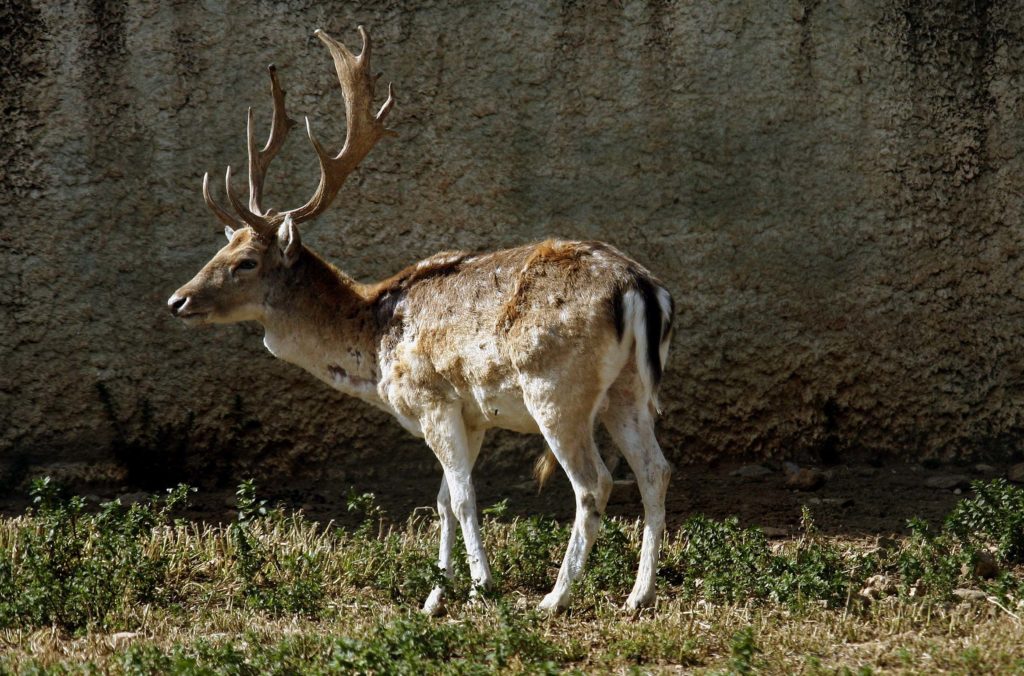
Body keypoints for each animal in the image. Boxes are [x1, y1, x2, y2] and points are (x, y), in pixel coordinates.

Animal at [169, 26, 671, 614]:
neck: (373, 349)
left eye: (246, 261)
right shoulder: (471, 415)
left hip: (556, 386)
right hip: (627, 389)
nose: (177, 301)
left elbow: (464, 496)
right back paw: (638, 595)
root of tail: (639, 288)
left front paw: (479, 588)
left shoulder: (432, 398)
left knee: (595, 483)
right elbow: (443, 500)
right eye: (219, 250)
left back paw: (554, 597)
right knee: (655, 470)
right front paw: (434, 596)